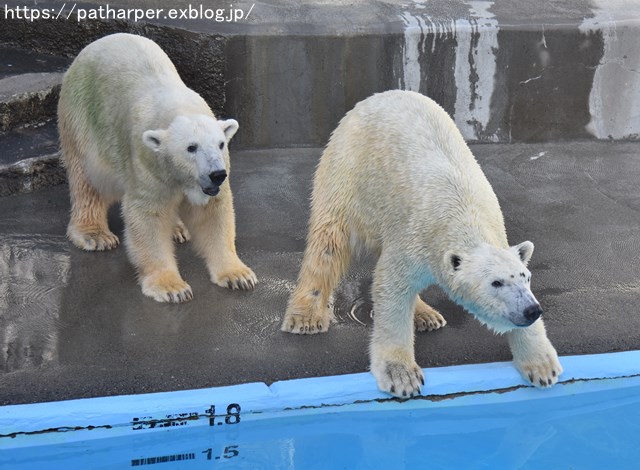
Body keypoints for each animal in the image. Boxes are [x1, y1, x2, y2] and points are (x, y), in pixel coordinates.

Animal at [58, 35, 258, 302]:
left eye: (221, 144)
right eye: (191, 147)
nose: (217, 175)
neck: (178, 110)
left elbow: (213, 214)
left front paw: (238, 275)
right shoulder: (147, 164)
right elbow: (148, 217)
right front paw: (172, 288)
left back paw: (178, 229)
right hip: (82, 117)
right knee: (87, 180)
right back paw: (95, 235)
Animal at [282, 89, 564, 396]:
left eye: (527, 277)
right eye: (496, 283)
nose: (531, 310)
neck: (464, 213)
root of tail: (376, 97)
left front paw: (543, 367)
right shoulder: (415, 235)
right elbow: (392, 287)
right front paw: (402, 376)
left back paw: (426, 316)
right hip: (348, 170)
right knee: (329, 242)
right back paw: (306, 317)